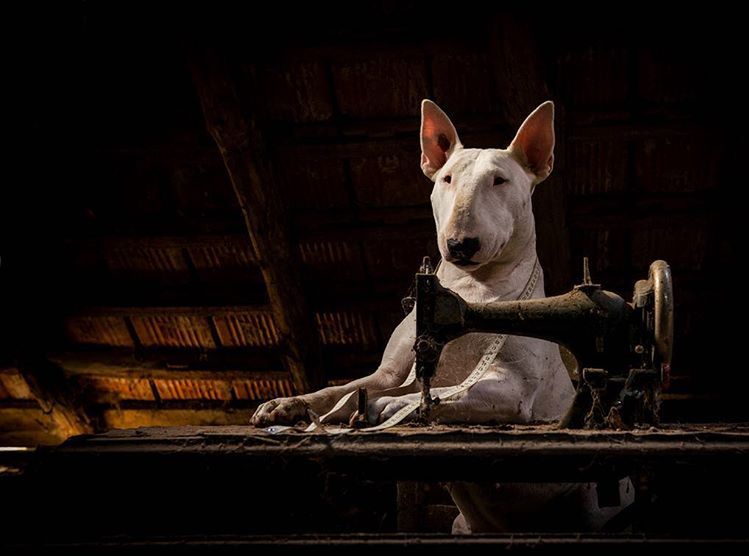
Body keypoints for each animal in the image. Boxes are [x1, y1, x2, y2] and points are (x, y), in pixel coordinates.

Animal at [251, 101, 632, 536]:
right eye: (447, 178)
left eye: (500, 180)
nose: (460, 244)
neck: (472, 287)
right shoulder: (389, 372)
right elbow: (342, 389)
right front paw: (286, 405)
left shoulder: (513, 389)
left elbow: (449, 392)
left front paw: (387, 407)